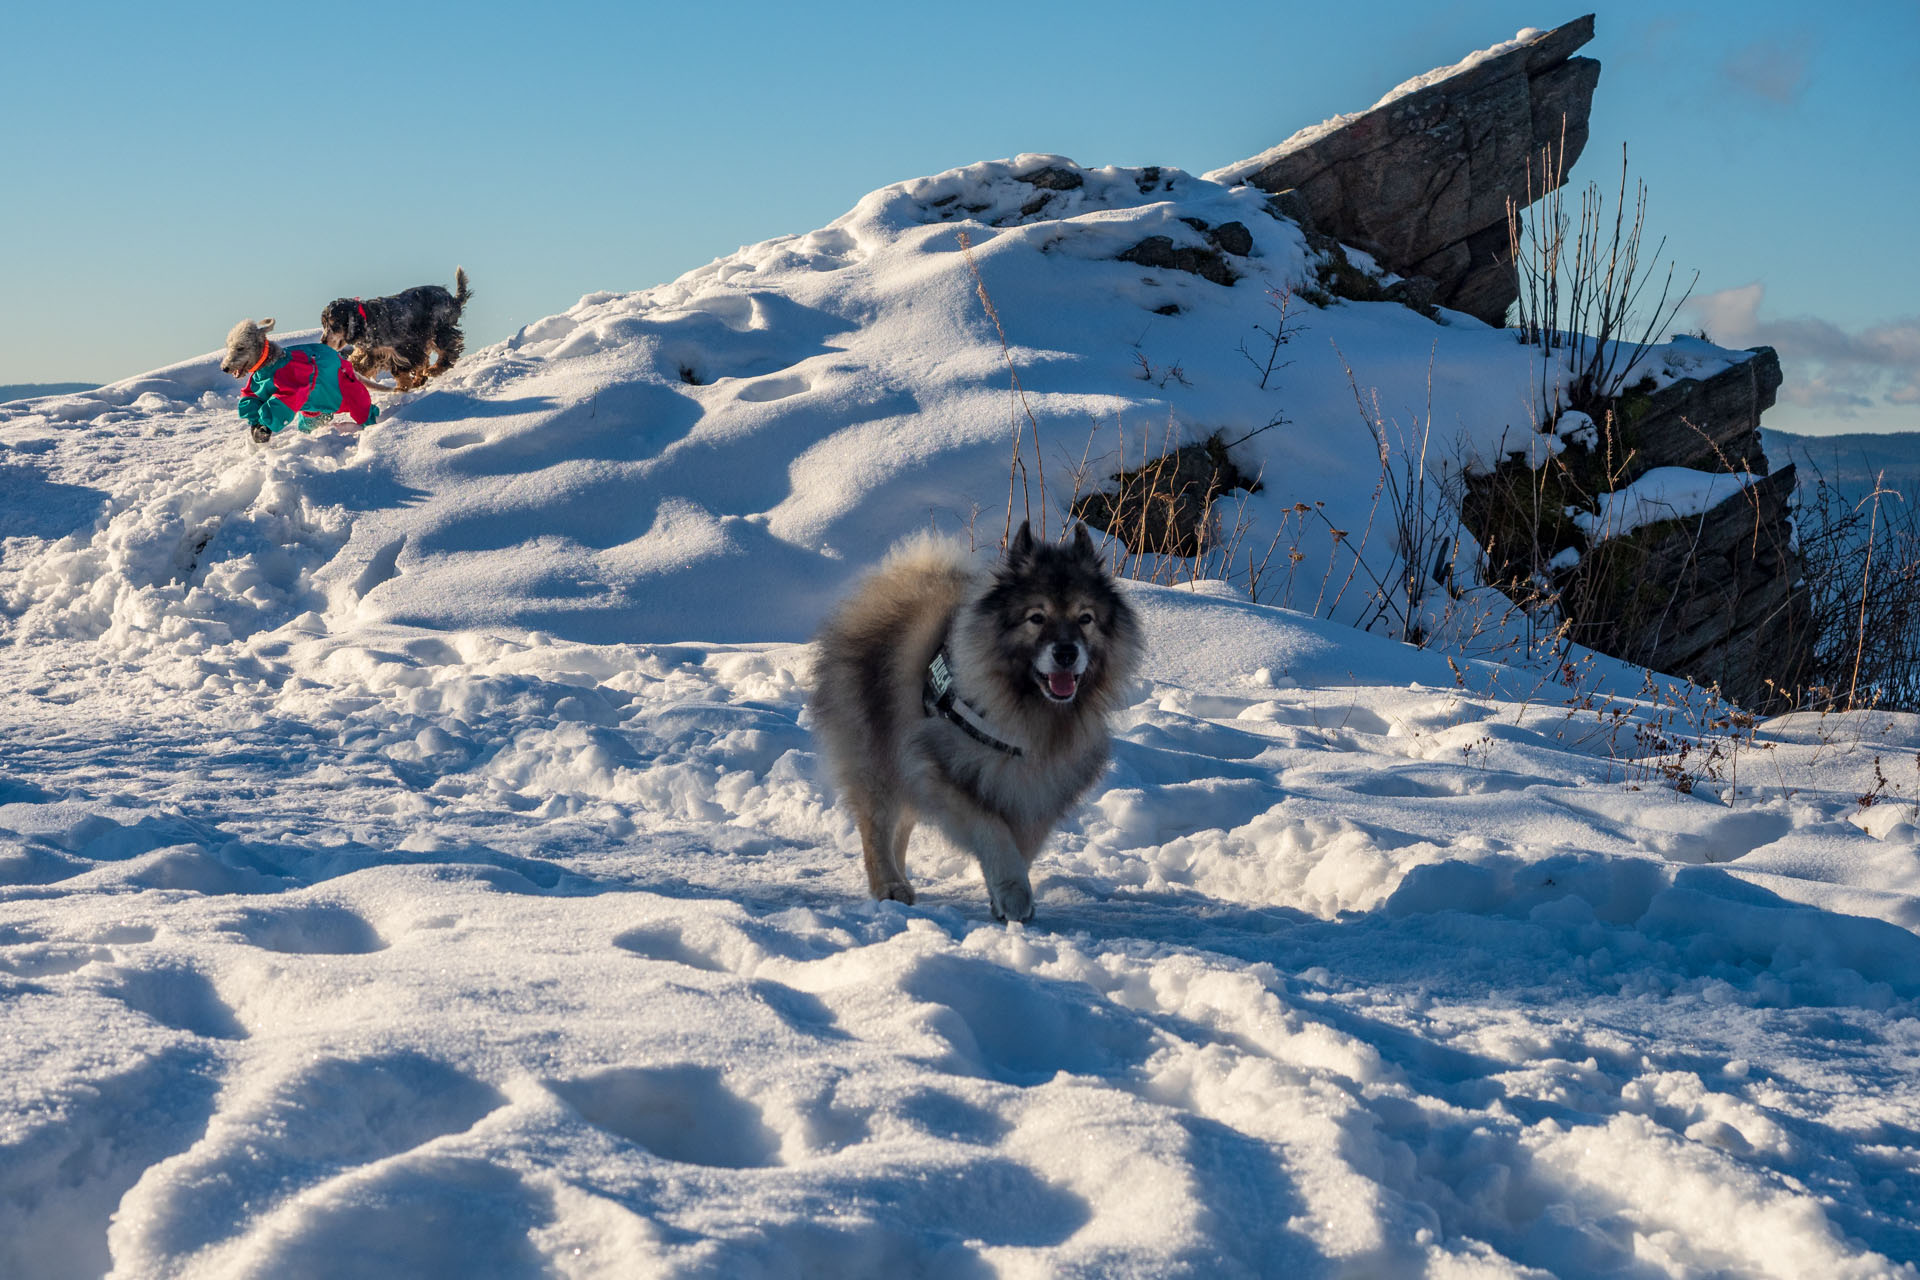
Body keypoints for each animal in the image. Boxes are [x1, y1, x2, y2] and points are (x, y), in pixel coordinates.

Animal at [320, 268, 470, 391]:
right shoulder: (374, 351)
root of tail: (452, 299)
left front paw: (402, 386)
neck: (367, 321)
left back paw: (434, 369)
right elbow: (359, 363)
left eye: (333, 324)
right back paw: (419, 379)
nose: (323, 341)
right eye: (324, 324)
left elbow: (399, 368)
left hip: (438, 330)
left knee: (448, 350)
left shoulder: (405, 347)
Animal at [810, 521, 1136, 921]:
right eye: (1037, 617)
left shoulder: (1039, 787)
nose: (1066, 652)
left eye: (1085, 618)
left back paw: (902, 880)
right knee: (878, 826)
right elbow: (993, 833)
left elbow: (1024, 845)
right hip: (878, 755)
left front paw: (1003, 895)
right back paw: (888, 884)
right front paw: (1012, 892)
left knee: (901, 825)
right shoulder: (949, 771)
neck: (1029, 711)